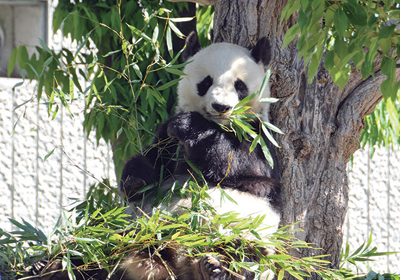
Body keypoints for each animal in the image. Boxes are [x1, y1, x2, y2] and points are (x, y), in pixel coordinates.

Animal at [31, 33, 282, 280]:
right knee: (93, 249)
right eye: (206, 82)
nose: (221, 106)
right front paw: (136, 179)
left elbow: (247, 172)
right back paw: (49, 267)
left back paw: (215, 269)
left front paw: (190, 127)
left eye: (239, 86)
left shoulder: (260, 137)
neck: (219, 125)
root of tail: (175, 262)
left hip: (244, 231)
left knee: (244, 255)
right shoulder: (165, 140)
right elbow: (149, 166)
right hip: (124, 231)